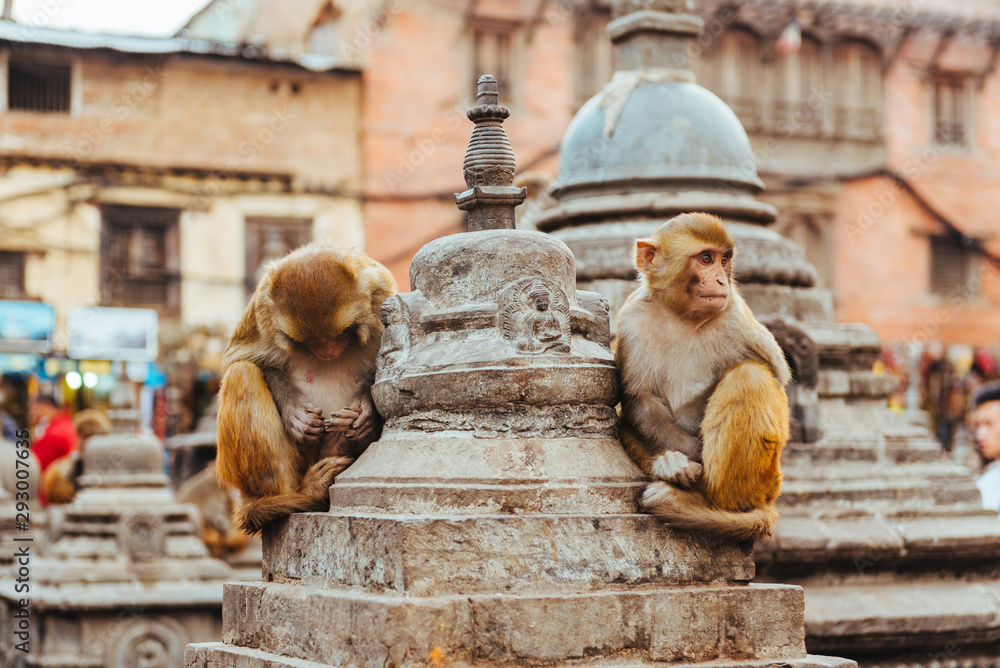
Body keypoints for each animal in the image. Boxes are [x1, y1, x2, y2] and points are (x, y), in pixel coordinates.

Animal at [216, 243, 397, 534]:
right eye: (311, 341)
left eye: (338, 334)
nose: (327, 350)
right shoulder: (261, 308)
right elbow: (241, 360)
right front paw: (296, 415)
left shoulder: (382, 293)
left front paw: (365, 412)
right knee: (240, 374)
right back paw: (304, 493)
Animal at [615, 213, 791, 541]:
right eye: (706, 259)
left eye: (724, 260)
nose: (722, 280)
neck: (681, 315)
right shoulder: (633, 318)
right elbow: (640, 400)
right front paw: (673, 464)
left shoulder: (734, 314)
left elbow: (776, 373)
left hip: (769, 480)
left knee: (749, 375)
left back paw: (706, 505)